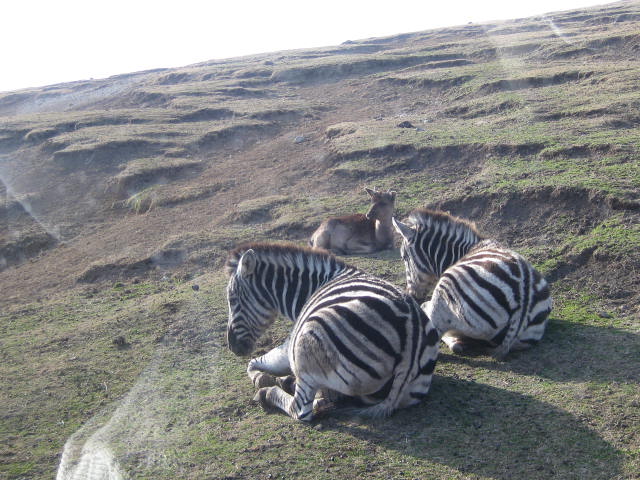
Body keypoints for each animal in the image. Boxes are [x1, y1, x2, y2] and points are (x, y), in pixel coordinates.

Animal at [222, 242, 438, 422]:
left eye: (232, 299)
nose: (232, 347)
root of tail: (412, 332)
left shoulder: (290, 344)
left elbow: (254, 362)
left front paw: (262, 378)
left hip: (306, 344)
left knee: (301, 410)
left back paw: (268, 393)